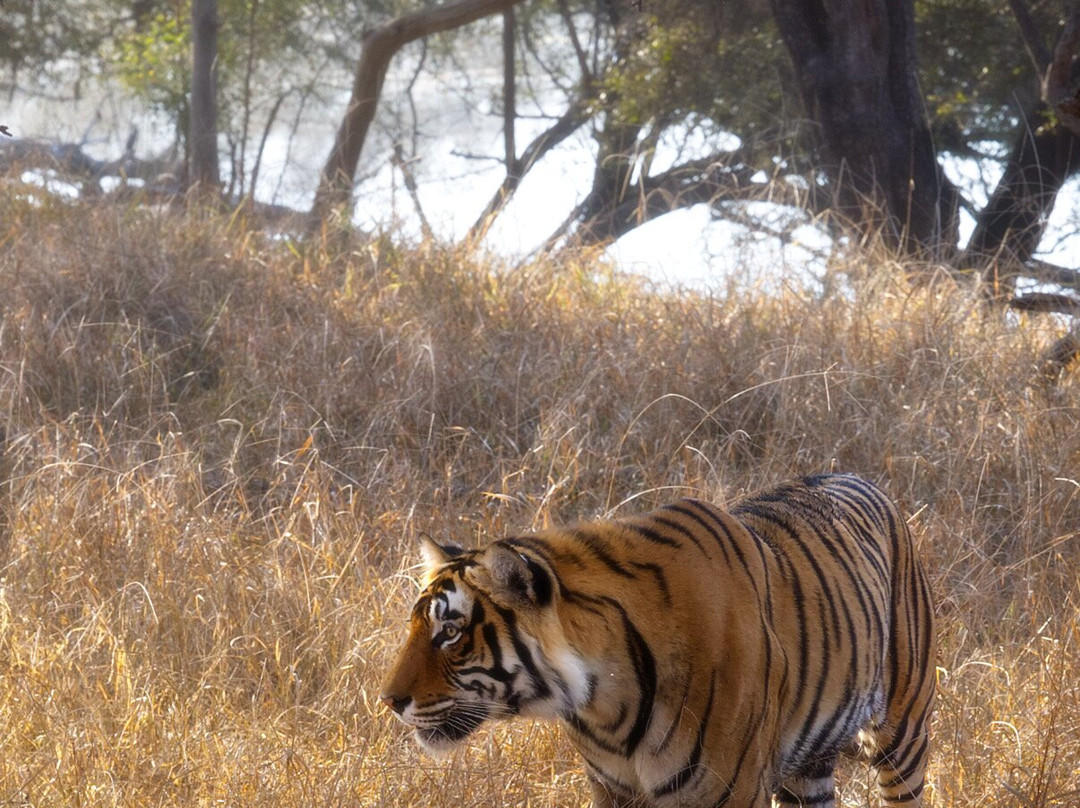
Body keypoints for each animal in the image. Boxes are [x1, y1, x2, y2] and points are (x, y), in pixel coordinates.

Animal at [381, 473, 936, 807]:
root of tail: (861, 478)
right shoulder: (613, 792)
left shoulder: (733, 791)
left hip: (903, 736)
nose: (389, 701)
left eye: (451, 633)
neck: (605, 703)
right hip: (809, 770)